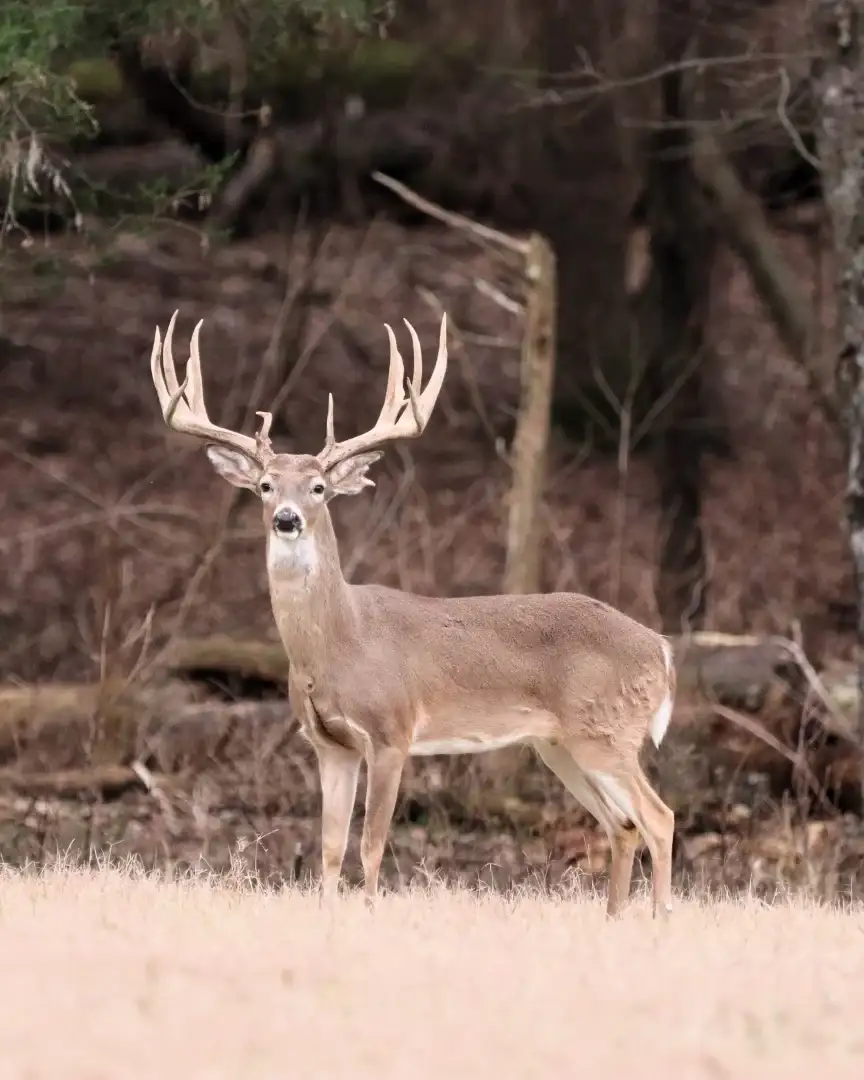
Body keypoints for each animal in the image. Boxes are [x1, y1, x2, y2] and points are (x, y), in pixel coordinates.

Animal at [150, 309, 677, 918]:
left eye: (319, 487)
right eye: (264, 485)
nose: (286, 518)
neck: (339, 643)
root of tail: (663, 650)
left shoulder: (391, 733)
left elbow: (372, 844)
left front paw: (370, 914)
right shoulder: (328, 744)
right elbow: (330, 847)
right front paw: (327, 917)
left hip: (607, 730)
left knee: (659, 817)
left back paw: (660, 920)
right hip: (560, 744)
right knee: (623, 825)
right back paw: (615, 919)